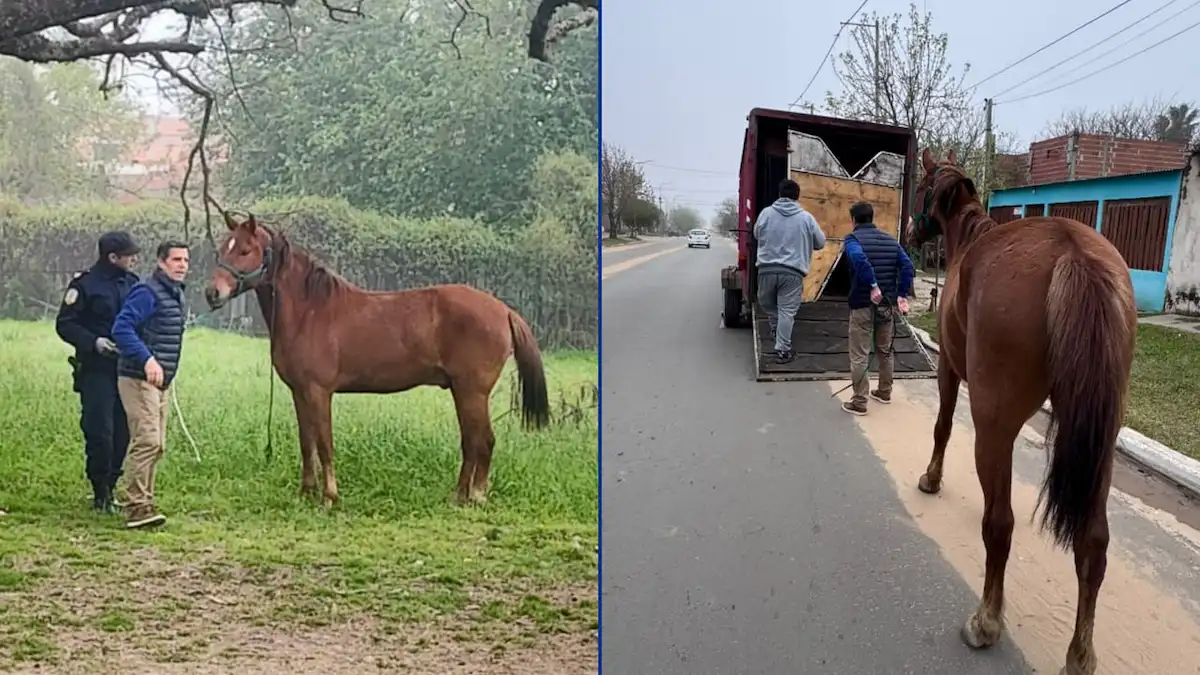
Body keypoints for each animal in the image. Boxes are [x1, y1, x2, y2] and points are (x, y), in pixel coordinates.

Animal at [202, 213, 552, 507]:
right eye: (223, 247)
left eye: (246, 250)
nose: (212, 293)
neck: (310, 311)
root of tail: (503, 310)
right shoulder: (299, 393)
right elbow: (306, 442)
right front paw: (306, 492)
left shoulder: (319, 392)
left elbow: (325, 443)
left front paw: (330, 497)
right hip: (461, 391)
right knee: (471, 442)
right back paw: (458, 496)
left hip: (472, 392)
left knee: (484, 441)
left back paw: (476, 496)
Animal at [908, 148, 1137, 675]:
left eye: (922, 187)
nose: (910, 233)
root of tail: (1073, 252)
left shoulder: (948, 368)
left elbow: (942, 425)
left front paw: (931, 478)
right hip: (1103, 439)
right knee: (1093, 542)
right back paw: (1080, 655)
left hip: (995, 426)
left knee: (1000, 523)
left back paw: (986, 622)